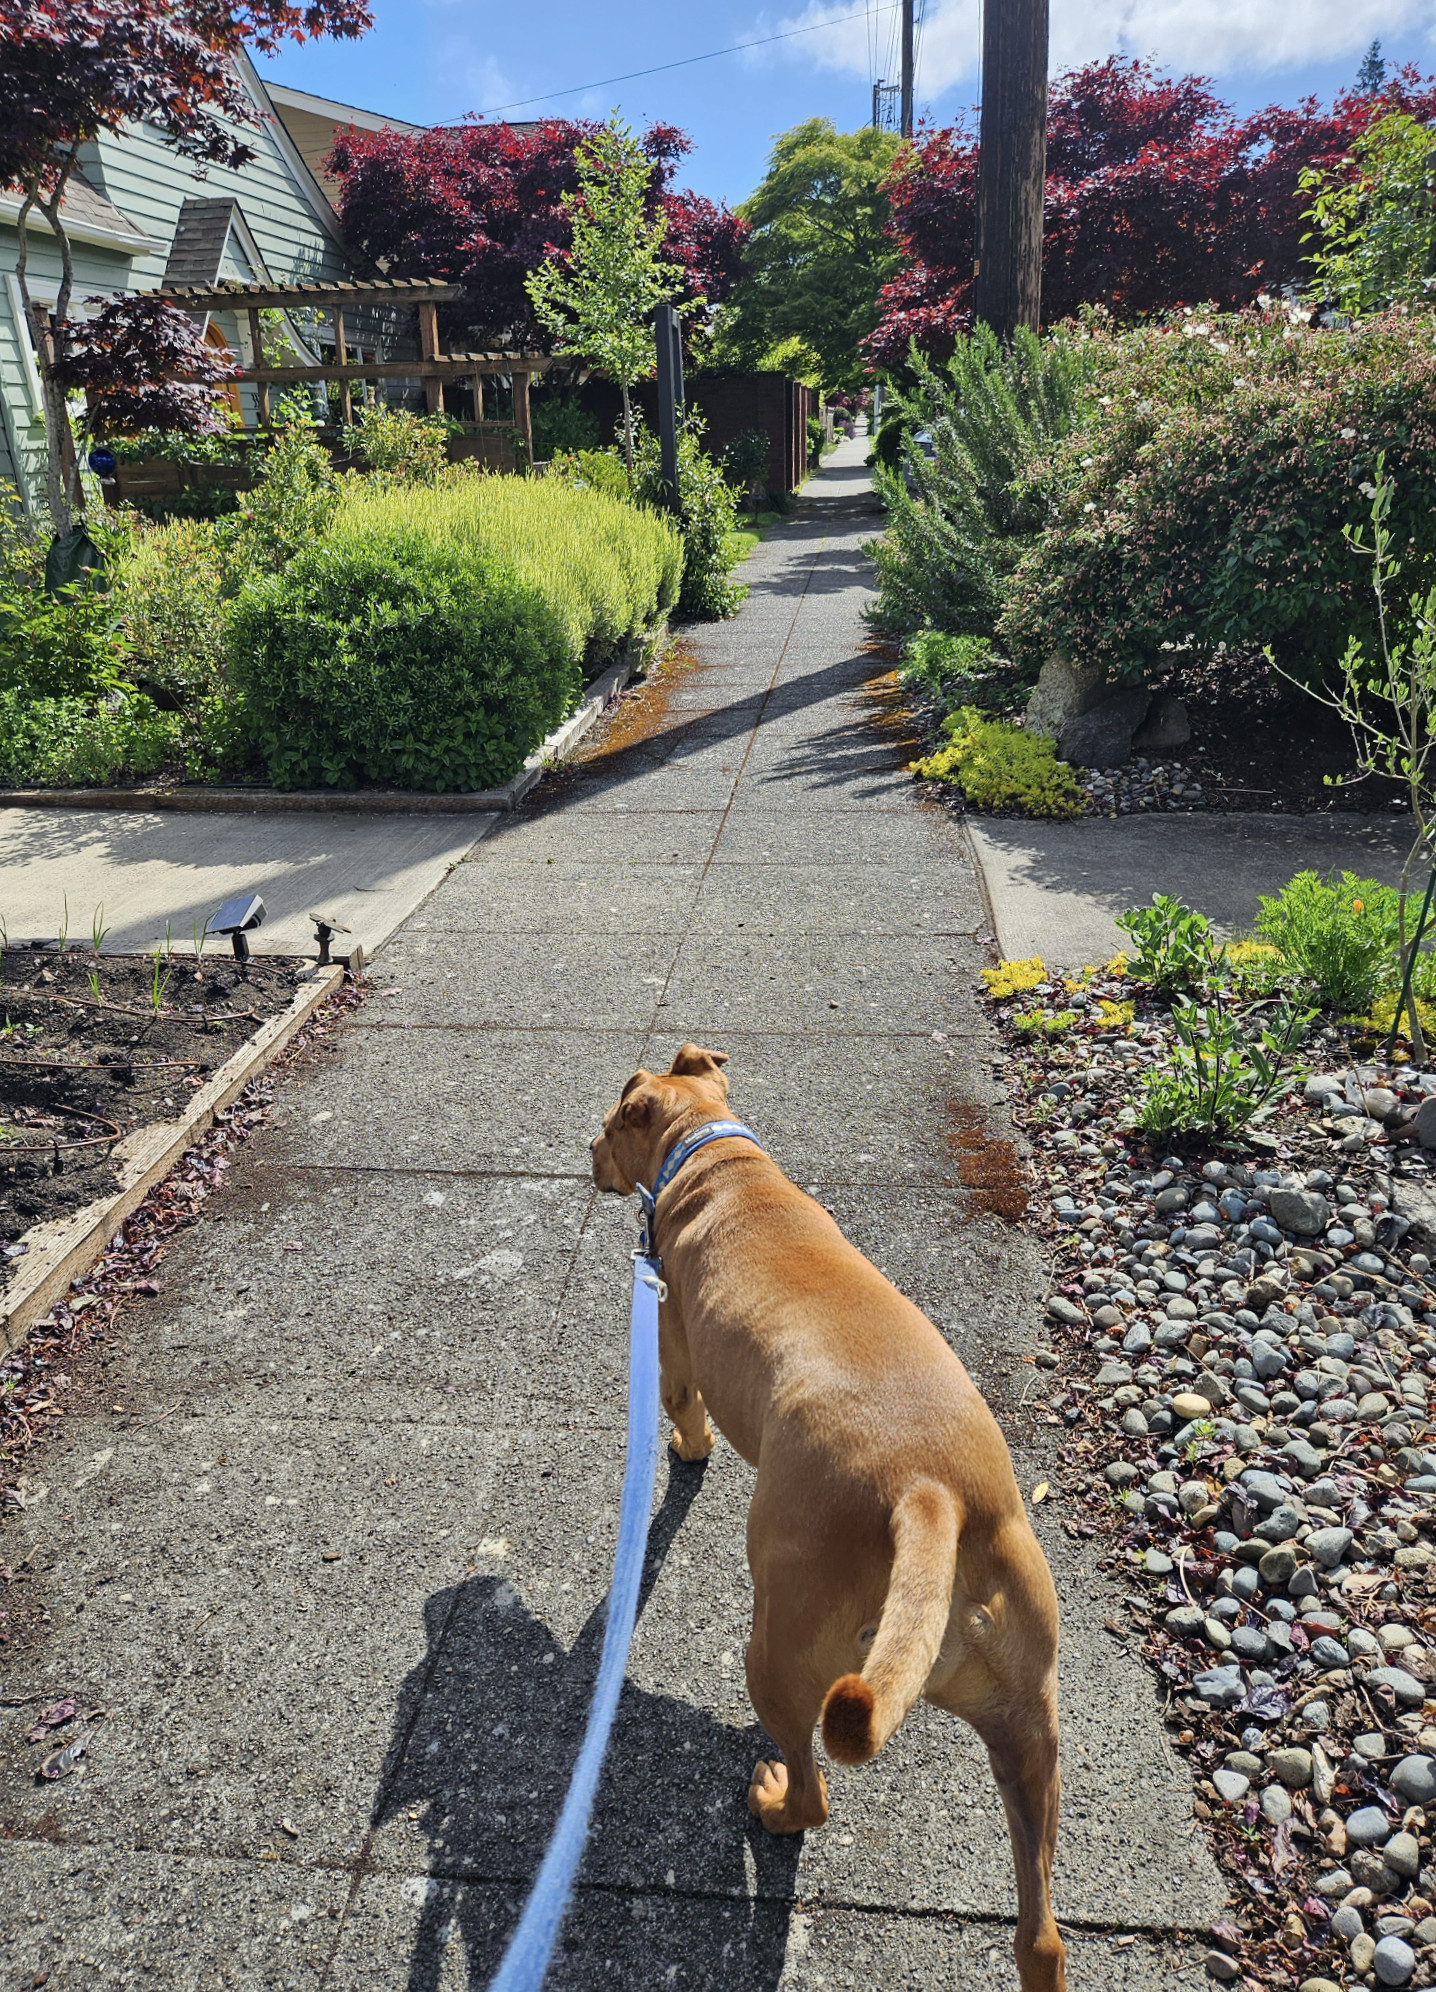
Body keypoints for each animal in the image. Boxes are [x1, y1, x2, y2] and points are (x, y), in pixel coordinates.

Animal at [589, 1043, 1067, 1992]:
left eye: (610, 1126)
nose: (586, 1153)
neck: (714, 1155)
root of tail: (930, 1493)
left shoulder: (671, 1337)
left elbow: (684, 1410)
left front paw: (688, 1452)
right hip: (1030, 1723)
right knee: (1041, 1934)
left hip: (776, 1647)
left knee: (813, 1793)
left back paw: (774, 1802)